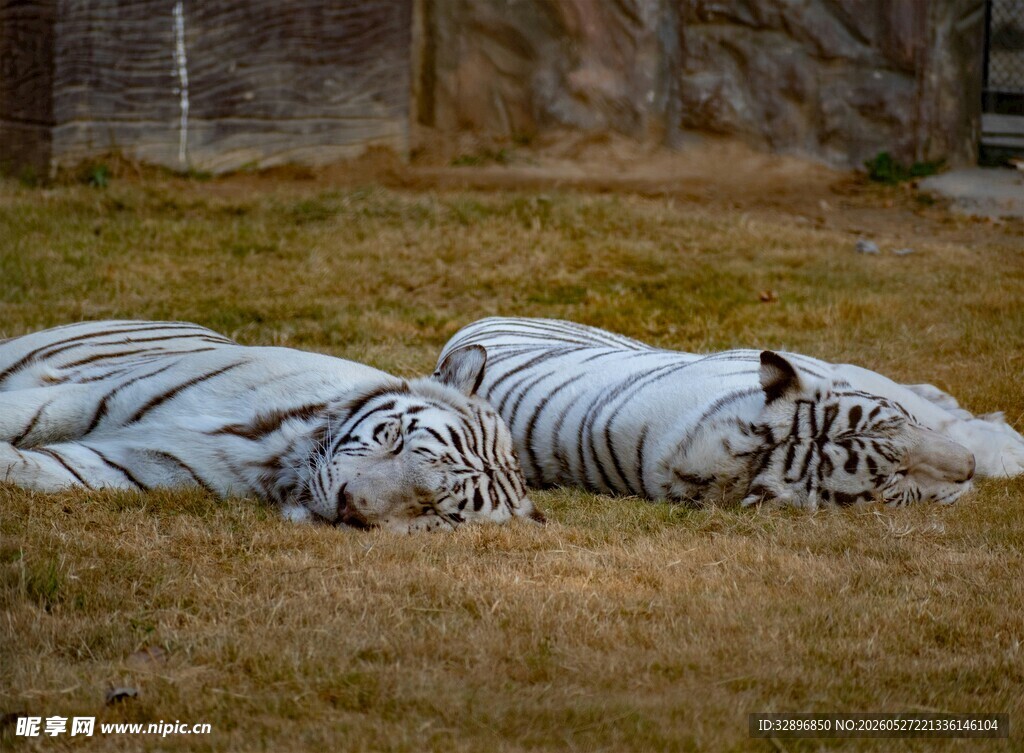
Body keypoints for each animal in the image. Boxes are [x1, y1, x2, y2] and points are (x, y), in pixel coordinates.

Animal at [0, 320, 543, 532]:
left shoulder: (125, 466)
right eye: (395, 440)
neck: (274, 452)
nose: (347, 506)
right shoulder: (87, 395)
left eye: (434, 510)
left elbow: (34, 468)